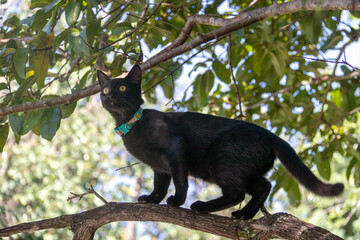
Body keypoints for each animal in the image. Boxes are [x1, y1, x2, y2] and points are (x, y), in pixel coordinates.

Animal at [97, 63, 344, 219]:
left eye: (122, 87)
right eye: (106, 89)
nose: (110, 96)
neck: (131, 123)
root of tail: (271, 135)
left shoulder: (175, 148)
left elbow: (179, 181)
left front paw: (177, 200)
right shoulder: (159, 165)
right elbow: (160, 184)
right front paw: (152, 199)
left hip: (221, 162)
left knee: (236, 194)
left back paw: (202, 207)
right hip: (245, 170)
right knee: (264, 186)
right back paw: (244, 215)